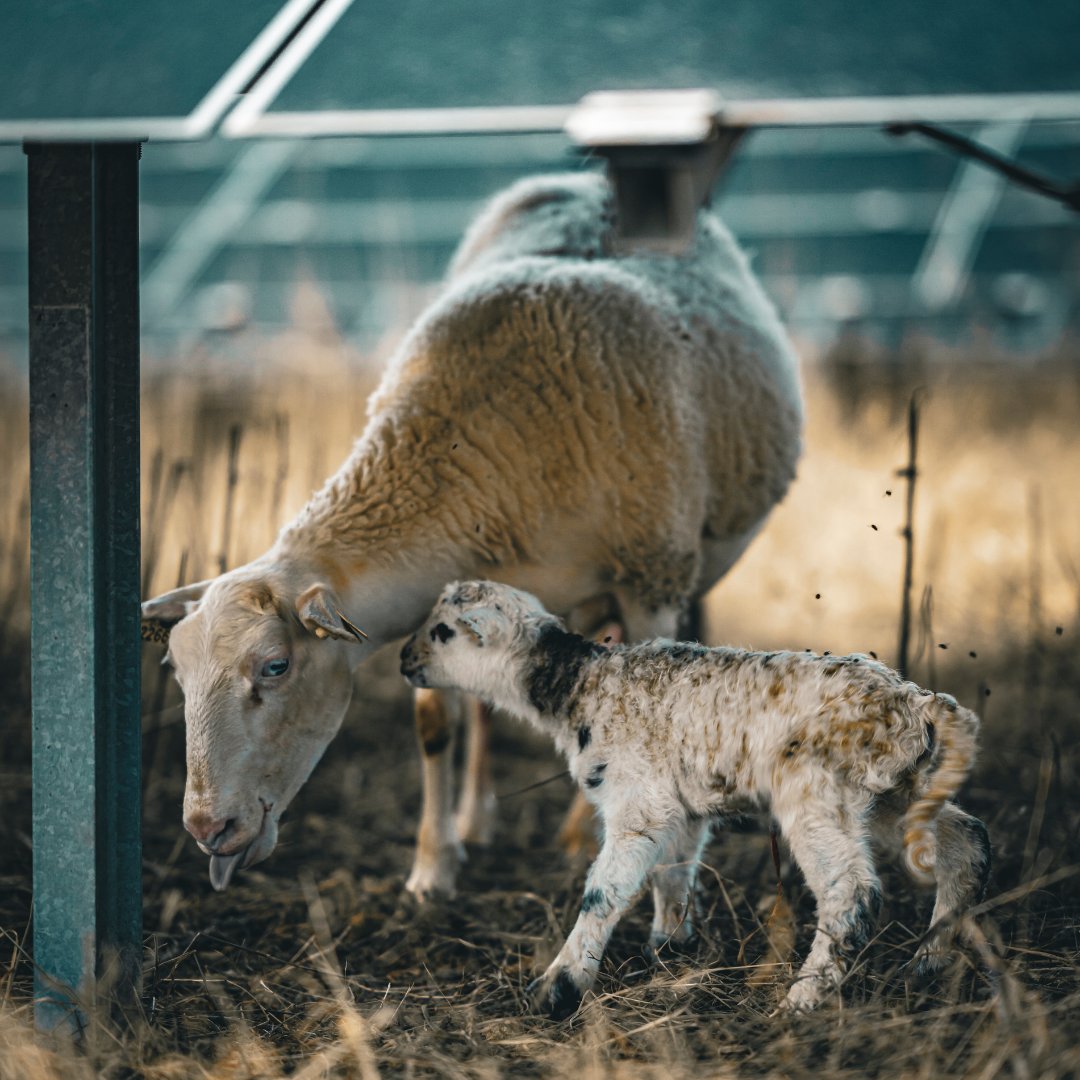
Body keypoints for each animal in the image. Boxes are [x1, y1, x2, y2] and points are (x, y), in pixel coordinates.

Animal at [140, 171, 803, 899]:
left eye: (276, 667)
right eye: (176, 672)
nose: (207, 828)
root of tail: (585, 178)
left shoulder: (650, 577)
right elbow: (436, 723)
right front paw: (433, 866)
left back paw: (580, 830)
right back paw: (480, 819)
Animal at [400, 580, 992, 1017]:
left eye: (444, 631)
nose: (405, 659)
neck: (579, 684)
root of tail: (918, 703)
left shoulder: (637, 801)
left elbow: (604, 893)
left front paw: (558, 987)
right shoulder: (678, 806)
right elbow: (673, 873)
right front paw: (669, 948)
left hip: (817, 791)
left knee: (850, 890)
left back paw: (802, 1000)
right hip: (897, 791)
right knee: (967, 842)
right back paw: (928, 963)